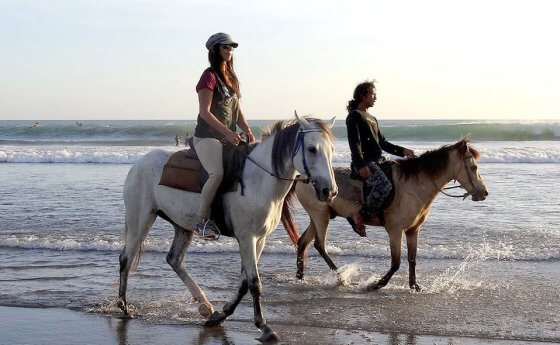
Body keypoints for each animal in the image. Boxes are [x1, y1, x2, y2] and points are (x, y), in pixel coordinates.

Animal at [117, 114, 336, 340]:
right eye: (311, 149)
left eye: (331, 149)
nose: (329, 191)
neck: (259, 180)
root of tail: (138, 164)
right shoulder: (247, 238)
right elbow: (254, 282)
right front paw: (264, 326)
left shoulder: (260, 239)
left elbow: (244, 282)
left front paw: (221, 315)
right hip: (140, 219)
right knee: (126, 258)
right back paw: (124, 307)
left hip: (183, 226)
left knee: (174, 260)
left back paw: (205, 306)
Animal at [282, 137, 488, 290]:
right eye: (474, 167)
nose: (484, 193)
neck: (414, 186)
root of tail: (302, 177)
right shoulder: (395, 230)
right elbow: (396, 262)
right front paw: (377, 284)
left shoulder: (413, 230)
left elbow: (412, 259)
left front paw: (414, 286)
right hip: (320, 215)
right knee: (319, 245)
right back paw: (341, 277)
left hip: (318, 216)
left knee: (303, 242)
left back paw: (300, 277)